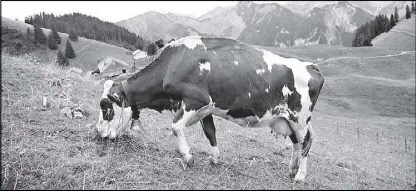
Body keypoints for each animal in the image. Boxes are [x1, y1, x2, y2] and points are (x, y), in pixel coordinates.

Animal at [95, 36, 324, 182]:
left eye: (105, 107)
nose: (98, 133)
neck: (175, 63)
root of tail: (310, 66)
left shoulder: (195, 100)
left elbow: (176, 126)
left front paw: (188, 156)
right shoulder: (206, 109)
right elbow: (210, 133)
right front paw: (214, 158)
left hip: (299, 118)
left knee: (305, 142)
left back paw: (300, 176)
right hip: (287, 119)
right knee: (298, 142)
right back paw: (292, 169)